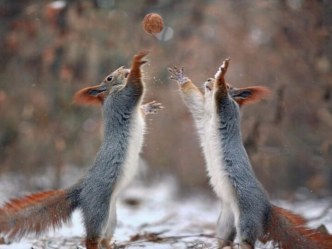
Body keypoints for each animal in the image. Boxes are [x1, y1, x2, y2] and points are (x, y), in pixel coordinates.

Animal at [170, 60, 330, 249]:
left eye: (230, 86)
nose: (209, 80)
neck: (210, 112)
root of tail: (266, 207)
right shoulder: (201, 113)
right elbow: (193, 99)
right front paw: (182, 78)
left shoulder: (227, 108)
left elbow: (221, 96)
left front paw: (222, 74)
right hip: (225, 221)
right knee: (225, 239)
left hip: (247, 216)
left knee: (247, 240)